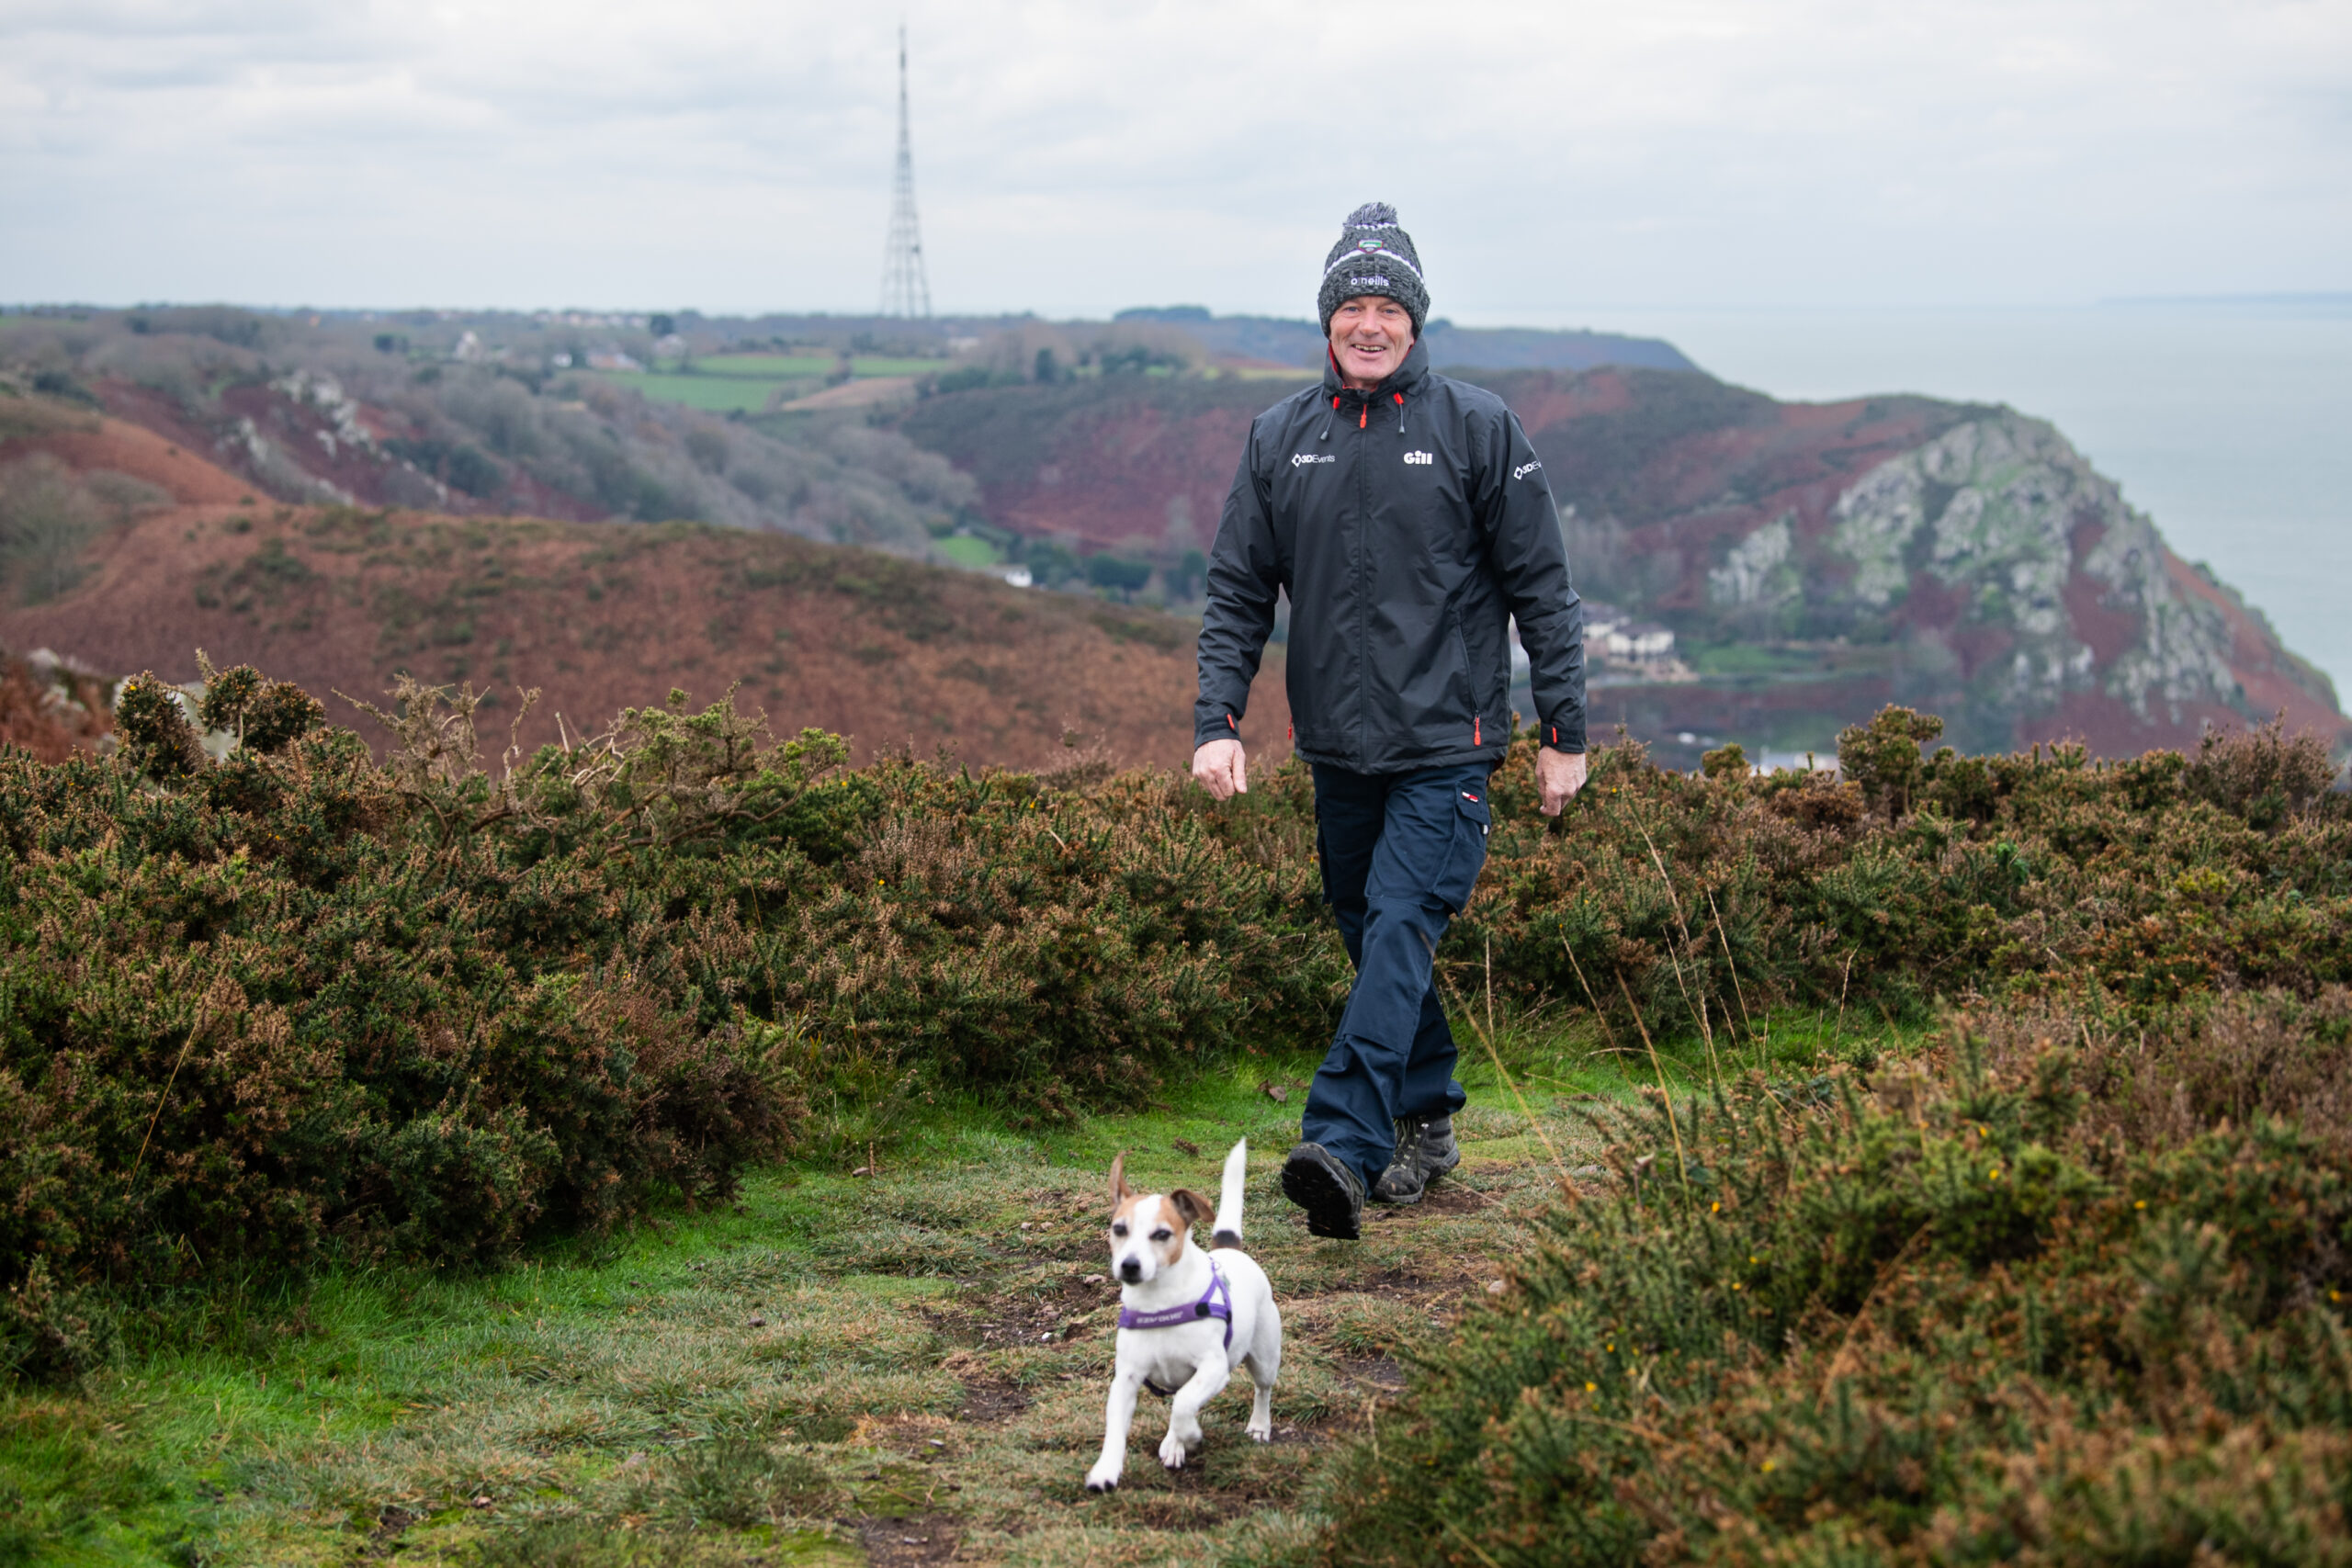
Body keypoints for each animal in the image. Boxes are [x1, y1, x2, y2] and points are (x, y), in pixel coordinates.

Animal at [1086, 1133, 1288, 1495]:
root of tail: (1230, 1250)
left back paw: (1258, 1425)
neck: (1158, 1303)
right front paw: (1105, 1470)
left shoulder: (1213, 1368)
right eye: (1119, 1229)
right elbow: (1116, 1430)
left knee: (1261, 1390)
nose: (1130, 1265)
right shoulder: (1126, 1378)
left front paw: (1190, 1435)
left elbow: (1182, 1407)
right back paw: (1173, 1444)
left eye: (1162, 1234)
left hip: (1265, 1357)